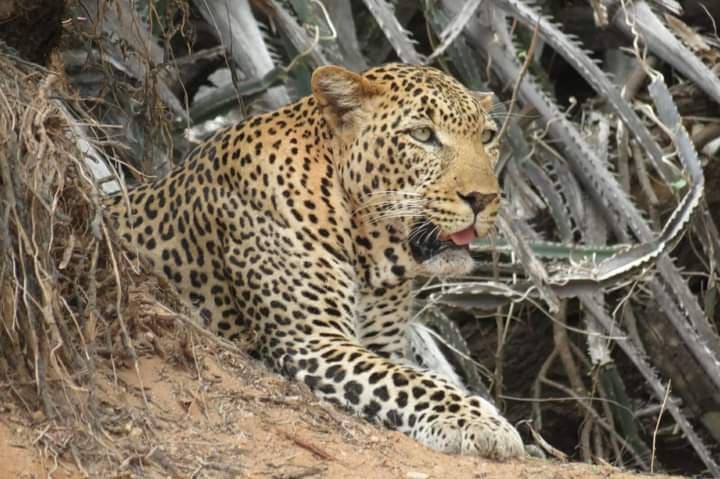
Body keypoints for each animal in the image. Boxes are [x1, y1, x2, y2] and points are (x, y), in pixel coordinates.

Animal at [104, 63, 525, 459]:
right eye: (422, 135)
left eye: (487, 137)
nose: (484, 198)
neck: (371, 254)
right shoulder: (310, 340)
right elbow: (411, 382)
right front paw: (477, 421)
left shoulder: (382, 344)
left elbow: (405, 375)